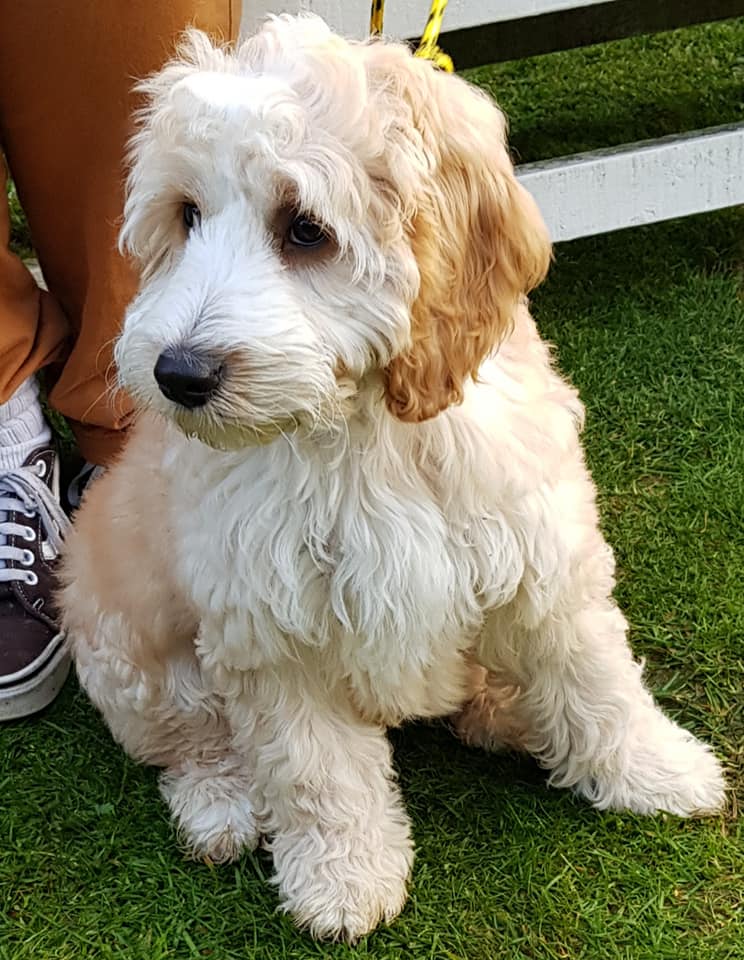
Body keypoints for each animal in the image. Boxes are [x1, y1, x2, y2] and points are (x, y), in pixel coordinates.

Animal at [59, 14, 726, 941]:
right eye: (186, 216)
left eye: (305, 228)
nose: (179, 374)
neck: (361, 429)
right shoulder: (269, 623)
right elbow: (316, 771)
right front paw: (342, 882)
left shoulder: (539, 550)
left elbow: (596, 676)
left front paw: (655, 771)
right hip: (128, 644)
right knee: (187, 740)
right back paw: (221, 806)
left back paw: (508, 711)